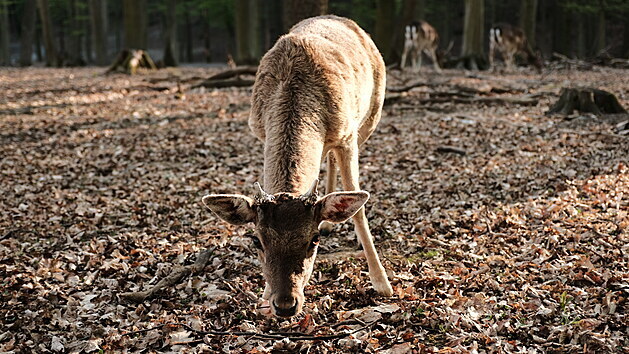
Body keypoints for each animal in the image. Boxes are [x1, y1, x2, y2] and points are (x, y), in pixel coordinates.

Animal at [201, 15, 390, 318]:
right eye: (257, 240)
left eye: (313, 240)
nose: (286, 305)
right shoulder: (260, 131)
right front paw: (264, 297)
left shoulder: (347, 136)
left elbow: (359, 209)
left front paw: (382, 283)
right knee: (327, 159)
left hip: (370, 118)